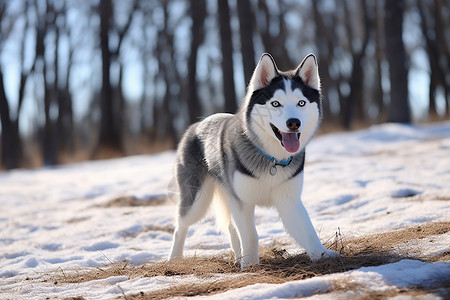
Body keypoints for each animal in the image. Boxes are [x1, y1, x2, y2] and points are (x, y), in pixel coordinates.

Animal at [169, 53, 338, 268]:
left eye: (301, 103)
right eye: (275, 103)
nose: (293, 123)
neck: (271, 159)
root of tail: (196, 124)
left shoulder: (289, 200)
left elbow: (307, 229)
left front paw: (322, 254)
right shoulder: (243, 203)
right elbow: (250, 236)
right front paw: (250, 265)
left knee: (231, 227)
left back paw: (237, 258)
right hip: (197, 201)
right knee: (181, 226)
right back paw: (174, 259)